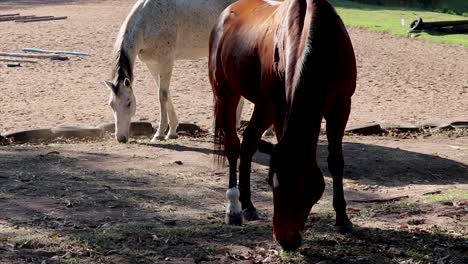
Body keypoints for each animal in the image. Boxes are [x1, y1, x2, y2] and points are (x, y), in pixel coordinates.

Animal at [104, 0, 239, 142]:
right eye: (111, 104)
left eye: (129, 103)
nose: (121, 138)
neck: (146, 23)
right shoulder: (151, 64)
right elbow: (165, 93)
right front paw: (172, 132)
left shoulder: (166, 61)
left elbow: (162, 95)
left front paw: (159, 134)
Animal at [210, 0, 356, 250]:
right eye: (272, 184)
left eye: (307, 189)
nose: (285, 240)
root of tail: (226, 14)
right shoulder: (280, 107)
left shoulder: (341, 107)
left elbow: (336, 162)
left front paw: (343, 219)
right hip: (226, 94)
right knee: (233, 147)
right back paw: (234, 208)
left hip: (263, 107)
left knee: (248, 143)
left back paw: (248, 204)